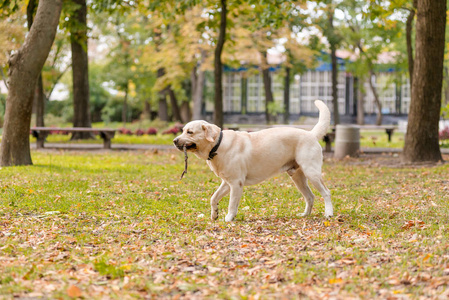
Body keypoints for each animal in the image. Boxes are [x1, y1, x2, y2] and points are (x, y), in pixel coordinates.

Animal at [173, 99, 330, 221]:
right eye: (182, 130)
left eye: (190, 132)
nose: (174, 141)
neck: (218, 145)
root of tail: (311, 134)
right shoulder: (227, 183)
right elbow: (214, 198)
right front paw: (215, 214)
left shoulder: (236, 183)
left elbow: (232, 204)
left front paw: (228, 218)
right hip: (297, 177)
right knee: (310, 197)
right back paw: (305, 215)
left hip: (312, 173)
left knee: (326, 193)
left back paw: (329, 213)